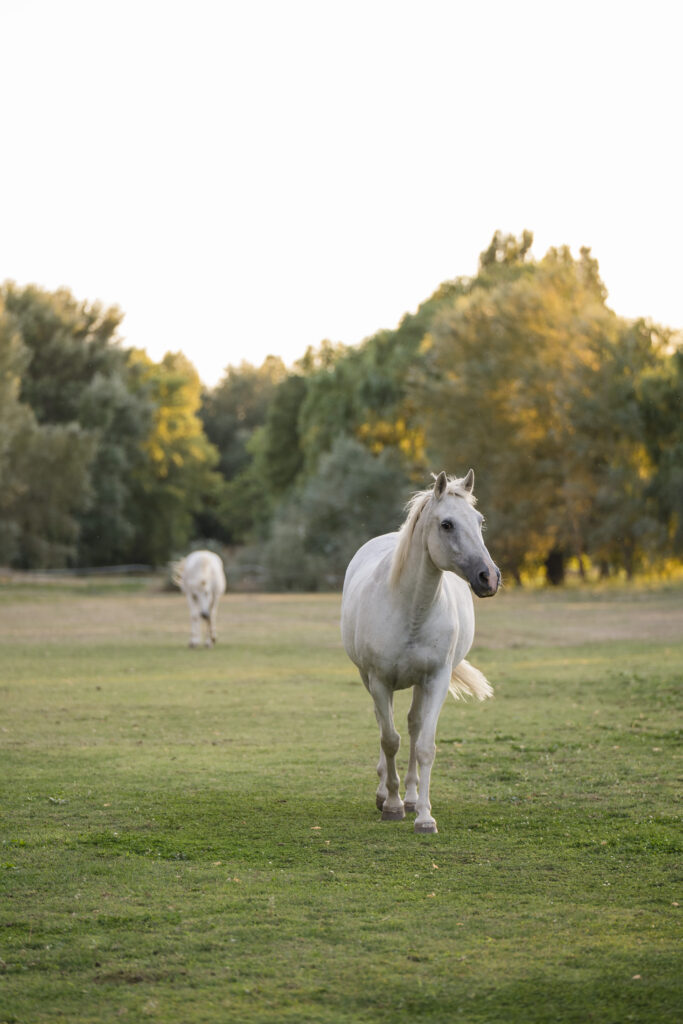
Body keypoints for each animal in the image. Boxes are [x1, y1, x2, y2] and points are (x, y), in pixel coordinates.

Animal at [341, 470, 500, 834]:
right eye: (447, 524)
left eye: (480, 521)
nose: (489, 577)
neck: (410, 609)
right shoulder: (379, 681)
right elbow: (389, 740)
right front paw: (392, 805)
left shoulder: (436, 679)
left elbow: (424, 745)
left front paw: (424, 816)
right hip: (369, 680)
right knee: (386, 727)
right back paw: (385, 794)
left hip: (419, 683)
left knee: (414, 727)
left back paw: (412, 798)